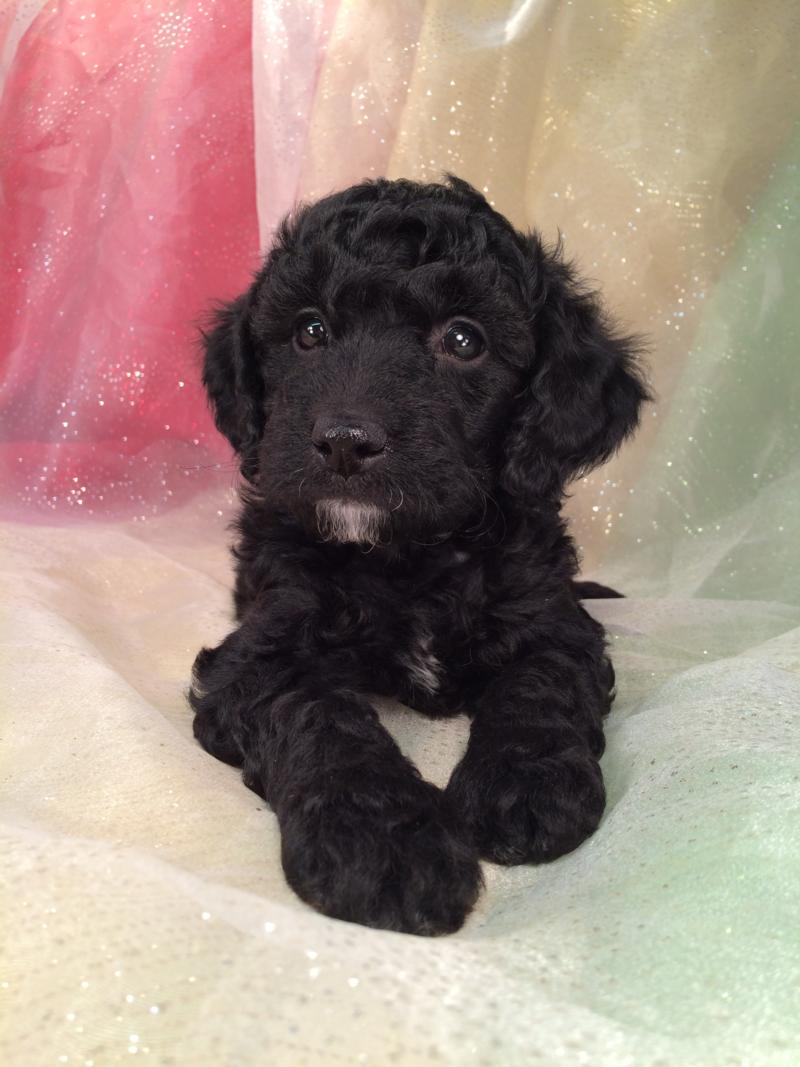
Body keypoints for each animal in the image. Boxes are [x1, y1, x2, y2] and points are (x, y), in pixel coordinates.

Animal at [189, 174, 652, 934]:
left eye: (463, 339)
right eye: (309, 331)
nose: (345, 441)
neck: (406, 557)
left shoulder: (550, 618)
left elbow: (540, 683)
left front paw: (525, 785)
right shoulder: (259, 647)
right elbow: (319, 713)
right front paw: (382, 845)